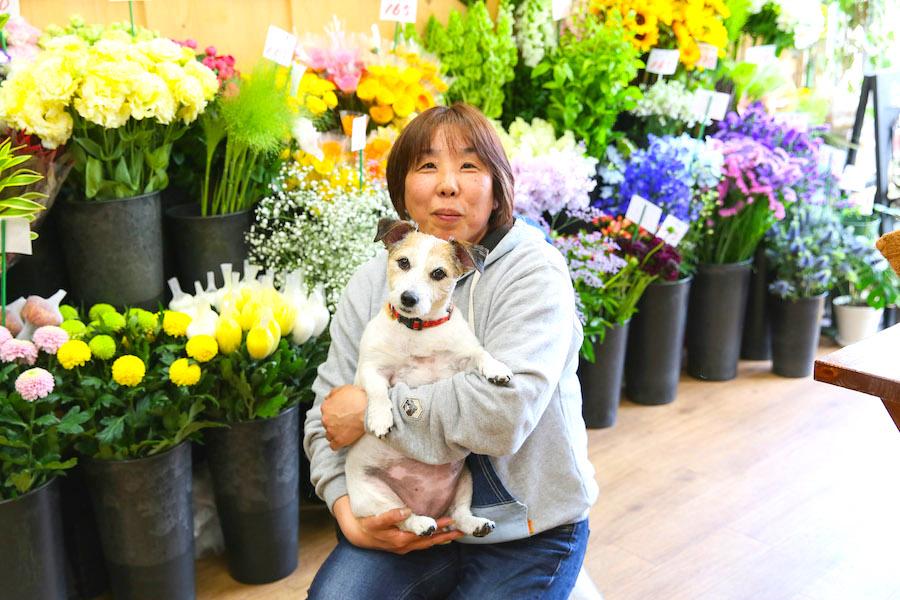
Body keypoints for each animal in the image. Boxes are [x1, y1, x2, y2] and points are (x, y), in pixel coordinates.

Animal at [344, 218, 512, 536]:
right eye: (403, 262)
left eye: (438, 273)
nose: (408, 298)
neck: (419, 329)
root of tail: (430, 506)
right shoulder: (370, 369)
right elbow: (377, 390)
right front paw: (381, 418)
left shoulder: (463, 357)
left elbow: (481, 354)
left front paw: (497, 369)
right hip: (375, 497)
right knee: (402, 518)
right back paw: (421, 523)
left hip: (465, 480)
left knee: (459, 514)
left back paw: (476, 524)